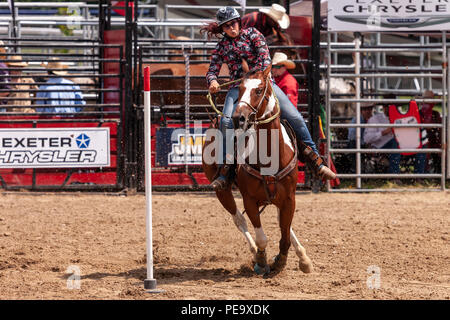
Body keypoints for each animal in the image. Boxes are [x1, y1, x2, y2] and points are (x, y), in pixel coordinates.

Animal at [203, 62, 312, 276]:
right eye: (240, 88)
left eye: (259, 89)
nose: (238, 118)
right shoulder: (250, 200)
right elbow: (262, 237)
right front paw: (261, 261)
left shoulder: (289, 198)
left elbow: (285, 234)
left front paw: (282, 260)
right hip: (223, 192)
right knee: (239, 220)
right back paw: (254, 252)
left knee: (282, 223)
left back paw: (303, 257)